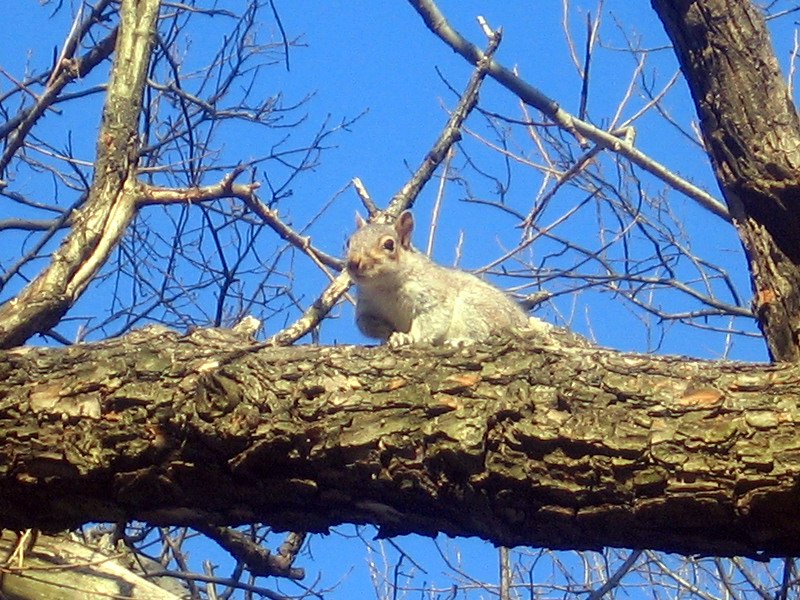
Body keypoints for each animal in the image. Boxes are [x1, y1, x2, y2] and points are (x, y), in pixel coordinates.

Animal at [344, 211, 552, 344]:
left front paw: (410, 337)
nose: (353, 262)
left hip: (477, 306)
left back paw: (463, 341)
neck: (383, 286)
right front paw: (393, 335)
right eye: (348, 242)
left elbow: (431, 320)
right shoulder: (367, 307)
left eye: (389, 245)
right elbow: (367, 324)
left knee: (484, 332)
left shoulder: (432, 295)